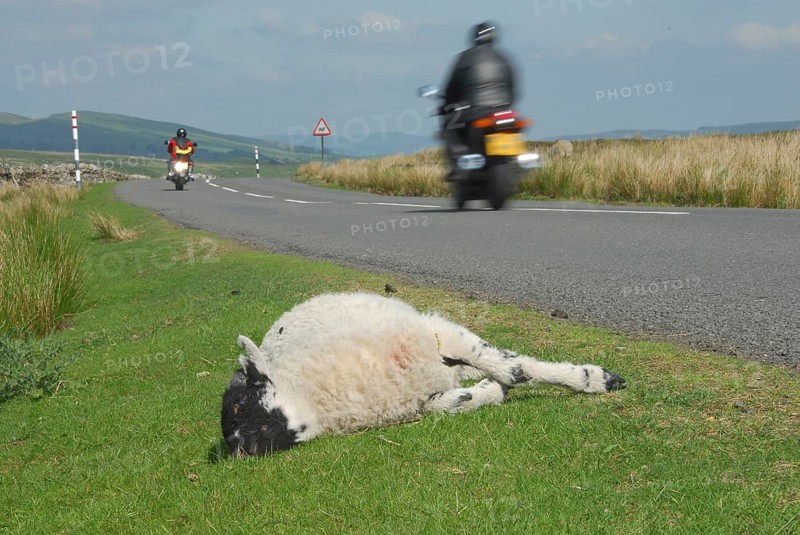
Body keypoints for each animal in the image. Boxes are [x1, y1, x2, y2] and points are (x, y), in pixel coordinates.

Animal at [221, 292, 626, 457]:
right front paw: (488, 393)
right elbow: (448, 404)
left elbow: (512, 369)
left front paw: (595, 378)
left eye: (239, 404)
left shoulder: (438, 336)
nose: (237, 448)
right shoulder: (419, 399)